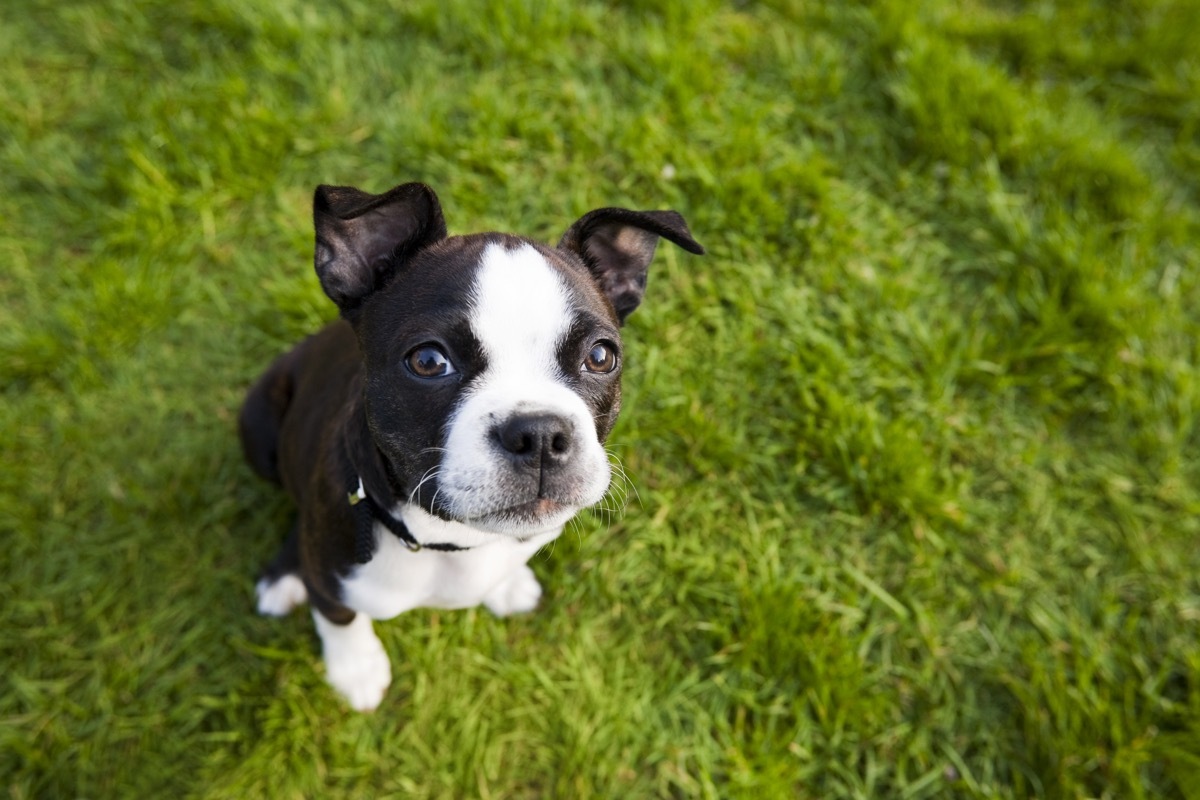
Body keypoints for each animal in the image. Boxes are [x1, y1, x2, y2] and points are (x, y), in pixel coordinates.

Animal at [238, 183, 700, 714]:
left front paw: (508, 584)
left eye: (601, 356)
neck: (451, 540)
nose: (539, 434)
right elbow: (340, 620)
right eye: (428, 361)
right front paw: (356, 670)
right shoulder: (331, 581)